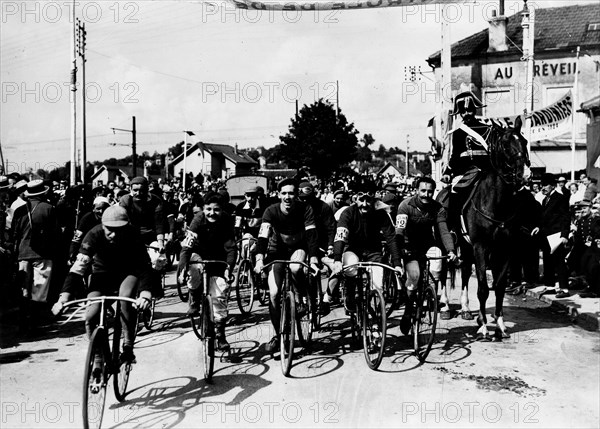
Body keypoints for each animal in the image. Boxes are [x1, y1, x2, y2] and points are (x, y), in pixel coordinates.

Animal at [440, 114, 528, 342]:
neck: (497, 204)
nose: (526, 175)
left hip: (466, 246)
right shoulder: (481, 247)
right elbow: (482, 287)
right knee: (443, 273)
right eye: (505, 144)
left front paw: (500, 325)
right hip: (445, 244)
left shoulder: (504, 249)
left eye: (524, 141)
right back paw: (444, 307)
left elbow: (499, 286)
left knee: (463, 271)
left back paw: (465, 309)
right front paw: (484, 328)